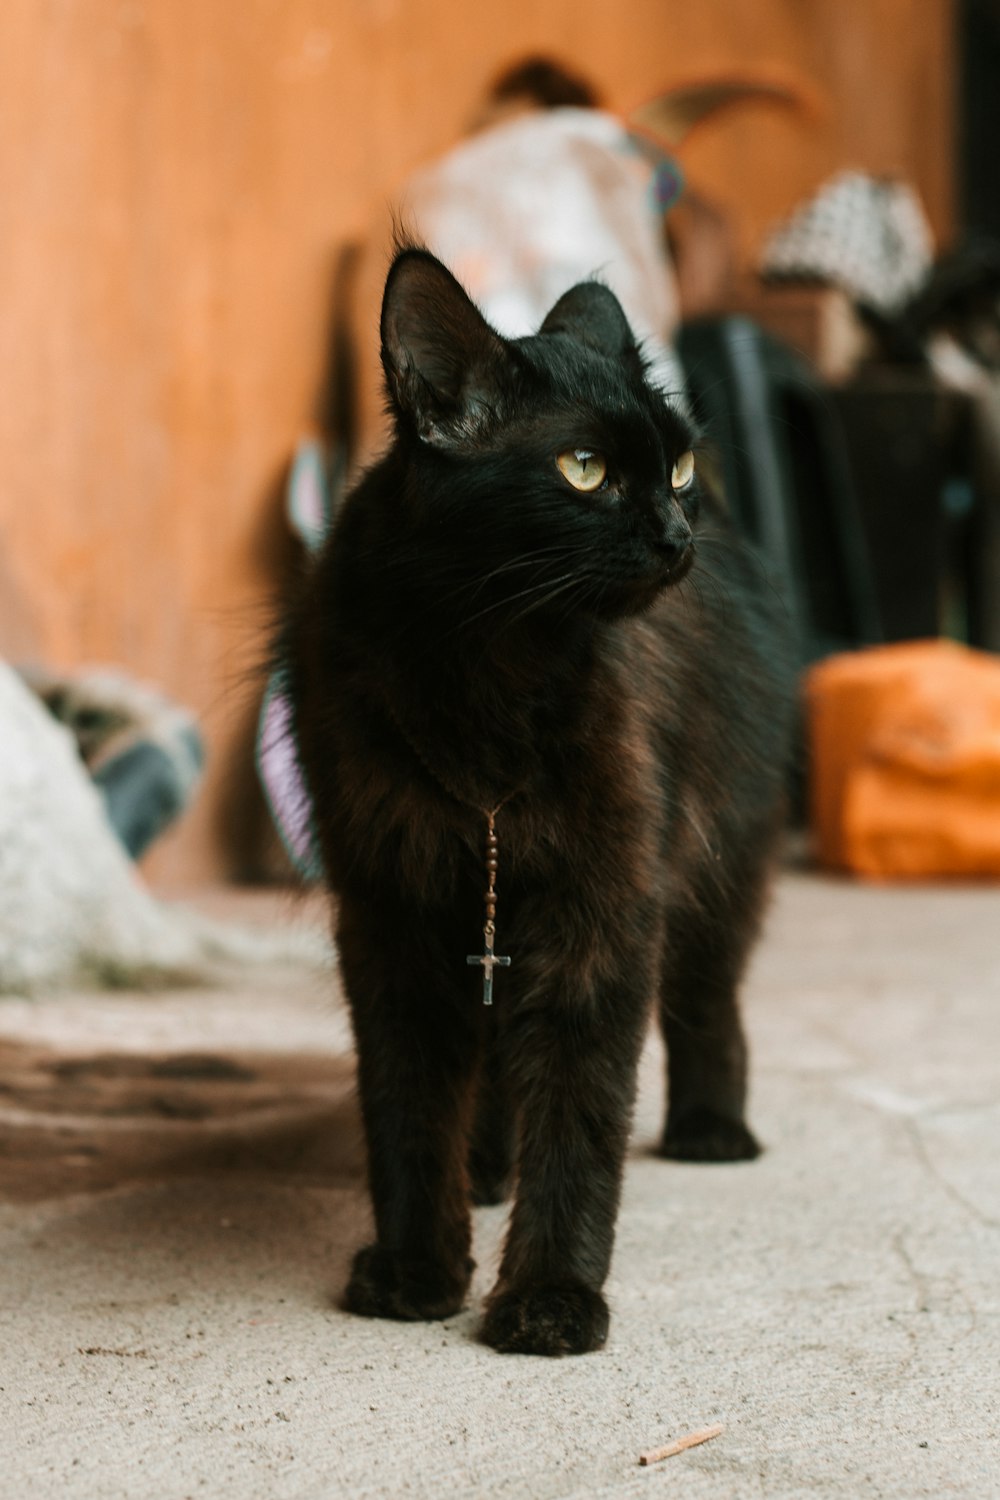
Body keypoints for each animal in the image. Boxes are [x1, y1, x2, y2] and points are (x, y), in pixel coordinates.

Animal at [283, 249, 797, 1362]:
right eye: (584, 470)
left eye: (676, 468)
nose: (676, 533)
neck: (487, 667)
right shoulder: (393, 908)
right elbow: (407, 1103)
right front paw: (417, 1267)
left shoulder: (601, 906)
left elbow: (580, 1106)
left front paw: (551, 1296)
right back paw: (485, 1170)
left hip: (720, 855)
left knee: (708, 1001)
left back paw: (712, 1131)